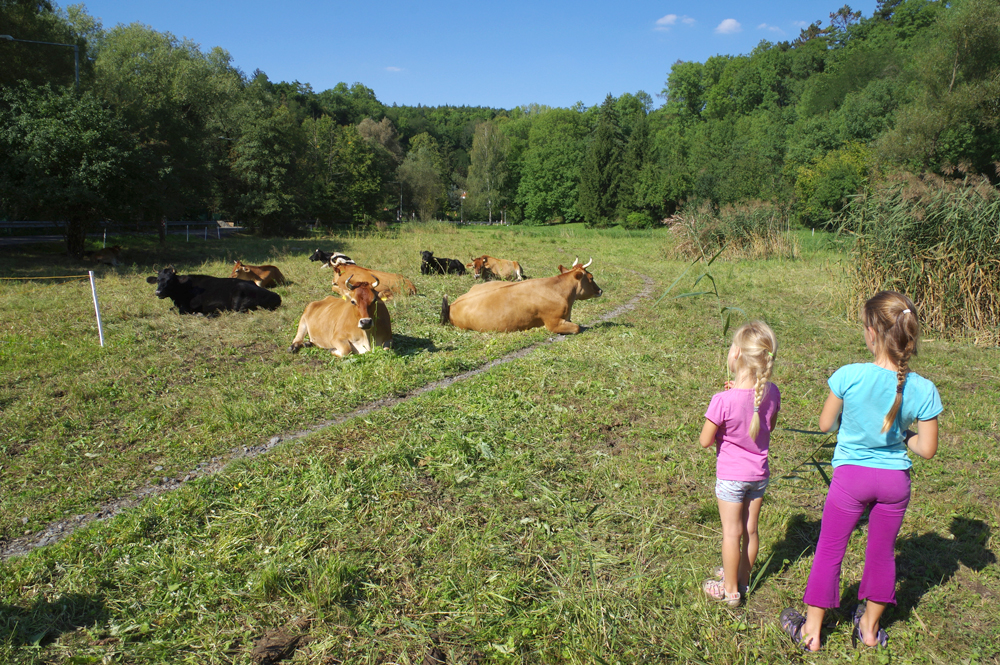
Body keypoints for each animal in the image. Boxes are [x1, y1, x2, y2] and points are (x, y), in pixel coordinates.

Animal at [145, 266, 280, 316]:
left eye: (170, 280)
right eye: (158, 280)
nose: (158, 292)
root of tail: (277, 297)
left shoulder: (189, 306)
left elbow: (181, 311)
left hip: (238, 299)